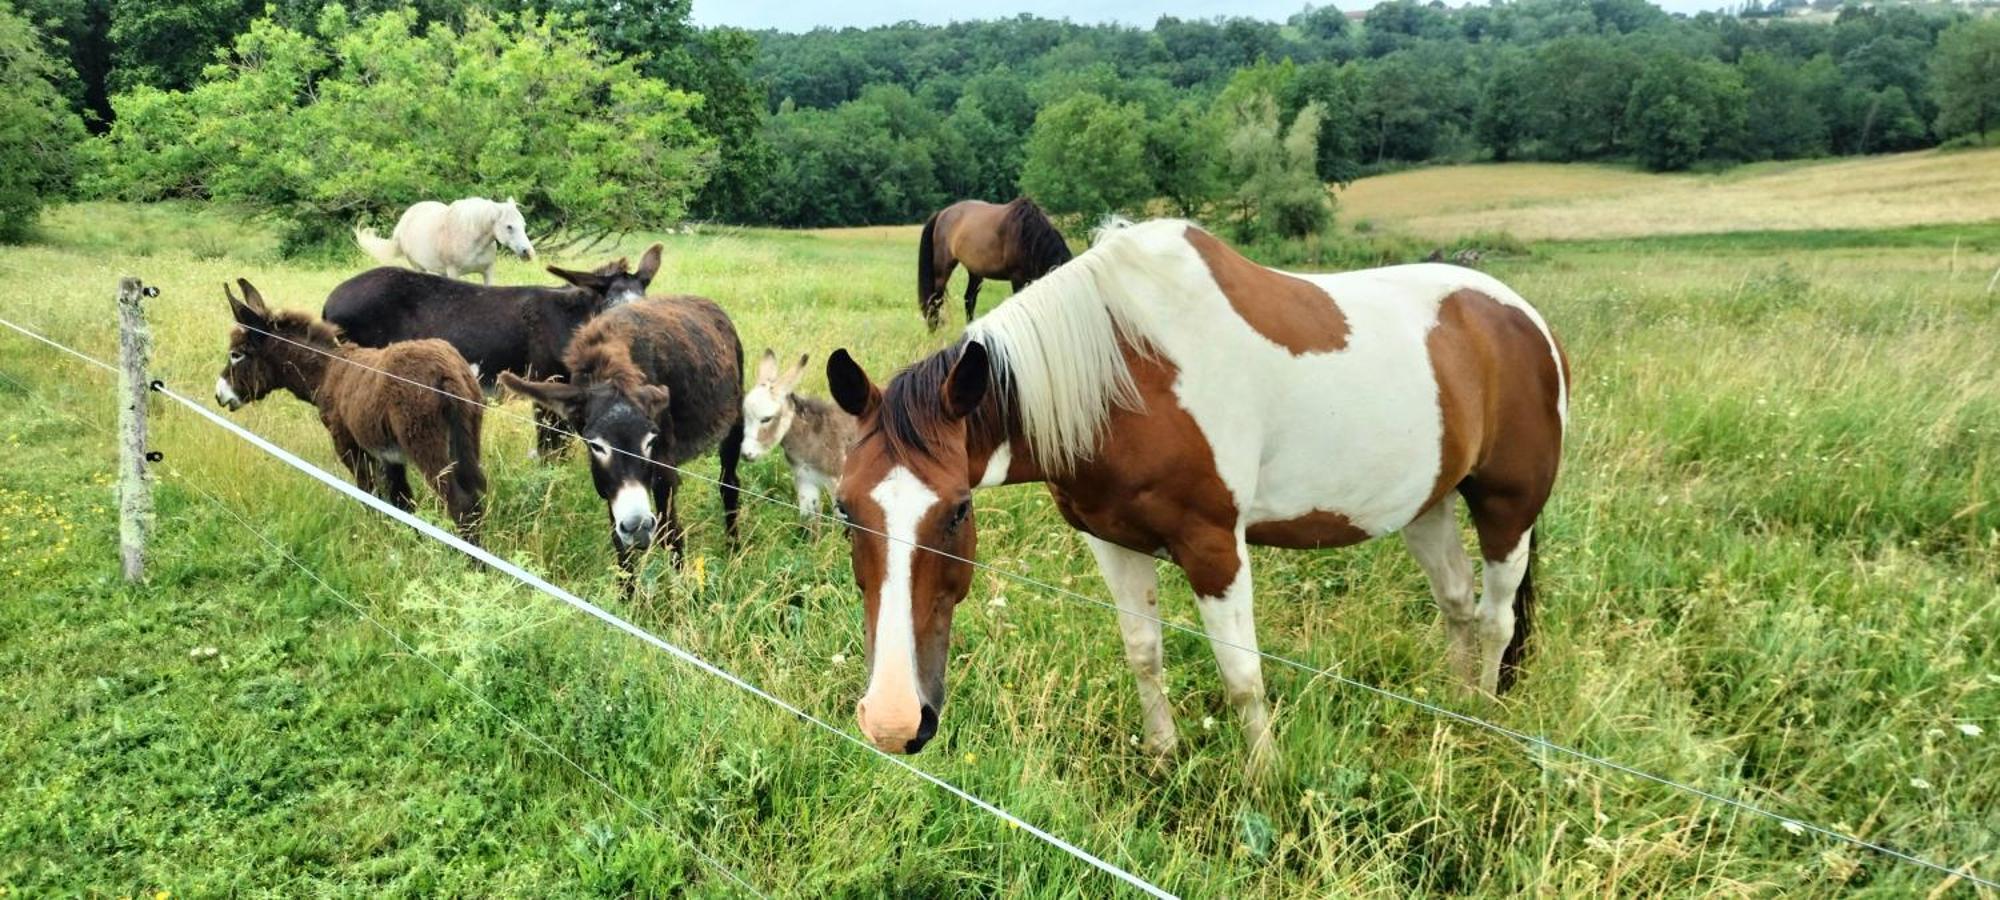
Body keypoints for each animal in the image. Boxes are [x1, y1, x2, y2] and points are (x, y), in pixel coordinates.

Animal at [215, 278, 488, 536]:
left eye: (236, 354)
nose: (219, 395)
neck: (326, 372)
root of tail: (446, 371)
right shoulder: (389, 456)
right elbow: (402, 502)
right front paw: (407, 539)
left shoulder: (348, 445)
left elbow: (369, 494)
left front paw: (380, 534)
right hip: (467, 440)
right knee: (475, 499)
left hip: (425, 443)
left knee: (460, 503)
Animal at [354, 198, 536, 284]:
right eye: (509, 227)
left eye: (524, 225)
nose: (528, 252)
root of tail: (403, 223)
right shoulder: (454, 272)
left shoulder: (488, 271)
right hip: (419, 267)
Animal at [500, 296, 752, 576]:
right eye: (596, 446)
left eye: (651, 441)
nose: (638, 527)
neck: (611, 363)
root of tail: (708, 304)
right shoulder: (608, 485)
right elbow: (620, 545)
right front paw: (626, 588)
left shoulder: (664, 469)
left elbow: (671, 534)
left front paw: (681, 587)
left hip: (734, 424)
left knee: (729, 485)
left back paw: (734, 551)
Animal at [820, 218, 1568, 768]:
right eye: (845, 510)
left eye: (957, 512)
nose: (893, 721)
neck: (1124, 376)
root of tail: (1521, 317)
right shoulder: (1112, 541)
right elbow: (1143, 653)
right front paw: (1162, 756)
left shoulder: (1215, 547)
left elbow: (1241, 677)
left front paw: (1266, 779)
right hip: (1426, 504)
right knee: (1458, 602)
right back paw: (1458, 706)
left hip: (1508, 507)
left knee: (1498, 617)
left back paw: (1487, 721)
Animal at [920, 197, 1080, 330]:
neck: (1027, 236)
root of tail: (942, 213)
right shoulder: (1018, 278)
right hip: (942, 270)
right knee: (936, 300)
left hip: (975, 272)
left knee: (969, 299)